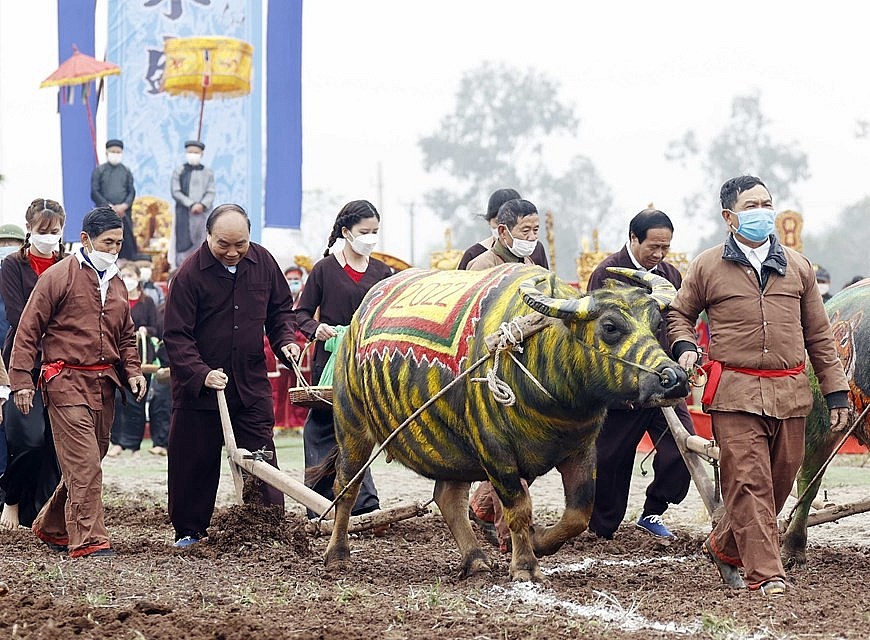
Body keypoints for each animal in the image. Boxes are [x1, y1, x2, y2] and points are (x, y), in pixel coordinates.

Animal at [320, 264, 688, 580]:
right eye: (610, 327)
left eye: (656, 324)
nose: (675, 379)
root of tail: (355, 323)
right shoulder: (495, 451)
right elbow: (519, 509)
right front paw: (525, 565)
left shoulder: (581, 450)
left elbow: (579, 514)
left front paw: (540, 541)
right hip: (351, 425)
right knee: (346, 488)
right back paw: (337, 556)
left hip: (451, 443)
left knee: (448, 497)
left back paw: (475, 560)